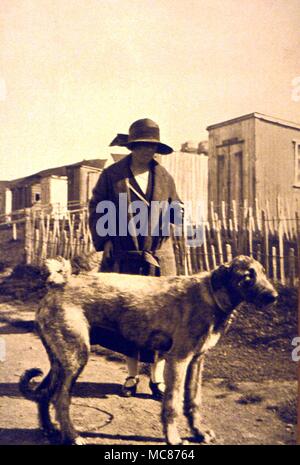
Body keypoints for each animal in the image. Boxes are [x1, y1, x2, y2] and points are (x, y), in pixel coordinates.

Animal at [19, 256, 278, 444]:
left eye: (264, 272)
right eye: (247, 276)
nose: (274, 296)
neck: (211, 295)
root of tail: (58, 284)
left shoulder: (197, 360)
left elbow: (193, 400)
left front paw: (199, 432)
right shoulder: (179, 359)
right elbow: (173, 403)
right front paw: (173, 438)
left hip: (60, 360)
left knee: (44, 393)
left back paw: (50, 430)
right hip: (76, 359)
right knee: (60, 399)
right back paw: (72, 436)